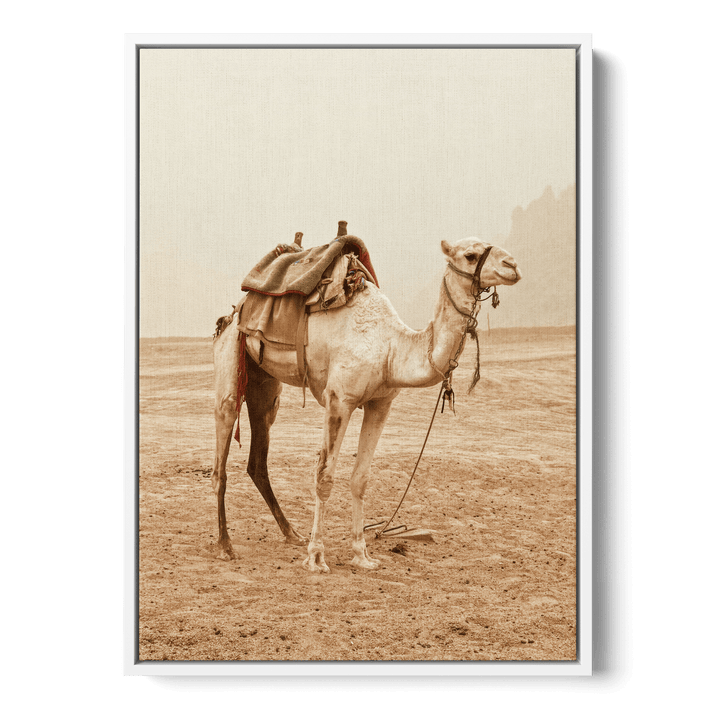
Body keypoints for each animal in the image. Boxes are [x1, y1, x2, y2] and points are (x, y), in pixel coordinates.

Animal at [211, 230, 521, 572]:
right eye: (469, 255)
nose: (512, 265)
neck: (391, 349)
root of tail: (235, 311)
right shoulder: (339, 400)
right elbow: (324, 477)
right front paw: (316, 557)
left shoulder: (380, 404)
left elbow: (360, 478)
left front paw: (361, 554)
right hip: (231, 358)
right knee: (221, 455)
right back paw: (226, 546)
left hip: (265, 385)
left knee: (258, 456)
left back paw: (292, 533)